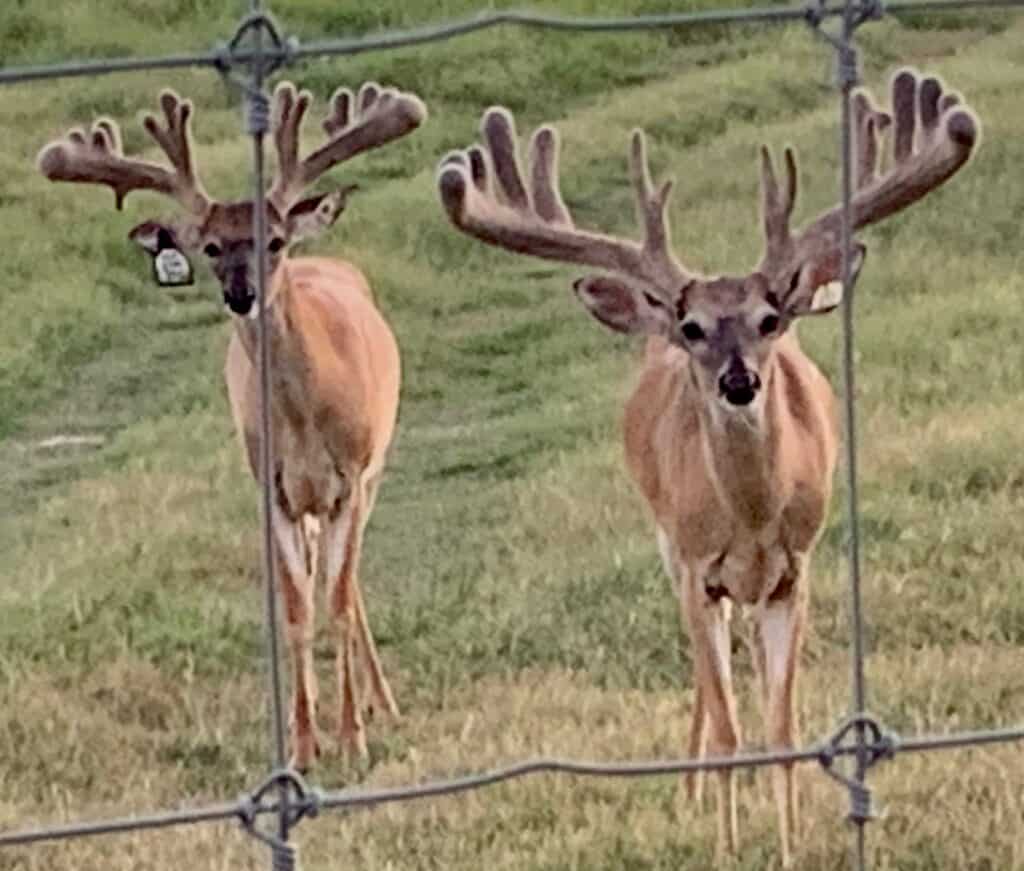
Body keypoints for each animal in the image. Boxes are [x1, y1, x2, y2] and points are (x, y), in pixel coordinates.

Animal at [37, 79, 428, 769]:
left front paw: (352, 735)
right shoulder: (272, 488)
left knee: (350, 585)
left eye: (273, 240)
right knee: (323, 580)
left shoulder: (351, 476)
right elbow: (296, 608)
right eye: (211, 246)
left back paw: (381, 703)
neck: (302, 421)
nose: (241, 294)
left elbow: (337, 600)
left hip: (372, 472)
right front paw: (303, 742)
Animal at [437, 68, 979, 865]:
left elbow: (781, 725)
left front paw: (787, 844)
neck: (750, 517)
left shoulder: (795, 568)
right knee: (703, 674)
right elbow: (727, 727)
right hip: (670, 548)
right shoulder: (699, 567)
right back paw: (691, 791)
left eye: (770, 319)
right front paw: (725, 842)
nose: (738, 380)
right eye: (694, 327)